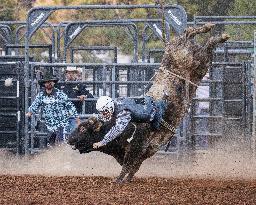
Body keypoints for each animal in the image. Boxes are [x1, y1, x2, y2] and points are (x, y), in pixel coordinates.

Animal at [67, 23, 228, 183]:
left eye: (83, 128)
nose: (69, 139)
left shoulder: (134, 147)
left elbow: (127, 165)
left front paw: (118, 180)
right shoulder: (142, 152)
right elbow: (133, 167)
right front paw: (127, 179)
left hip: (195, 60)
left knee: (198, 38)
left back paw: (216, 33)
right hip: (198, 65)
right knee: (192, 35)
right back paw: (211, 29)